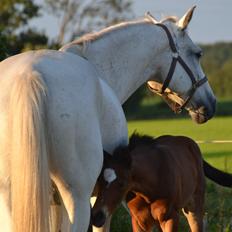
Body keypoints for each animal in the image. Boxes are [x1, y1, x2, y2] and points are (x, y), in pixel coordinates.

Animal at [91, 133, 232, 231]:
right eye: (99, 181)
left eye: (122, 183)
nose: (97, 217)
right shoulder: (139, 221)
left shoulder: (170, 218)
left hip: (194, 207)